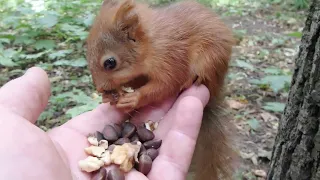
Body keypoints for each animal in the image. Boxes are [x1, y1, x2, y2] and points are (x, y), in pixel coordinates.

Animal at [86, 0, 234, 179]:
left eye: (110, 63)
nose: (100, 88)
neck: (151, 43)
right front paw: (111, 96)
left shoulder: (170, 57)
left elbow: (167, 84)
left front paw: (134, 98)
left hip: (213, 56)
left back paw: (193, 78)